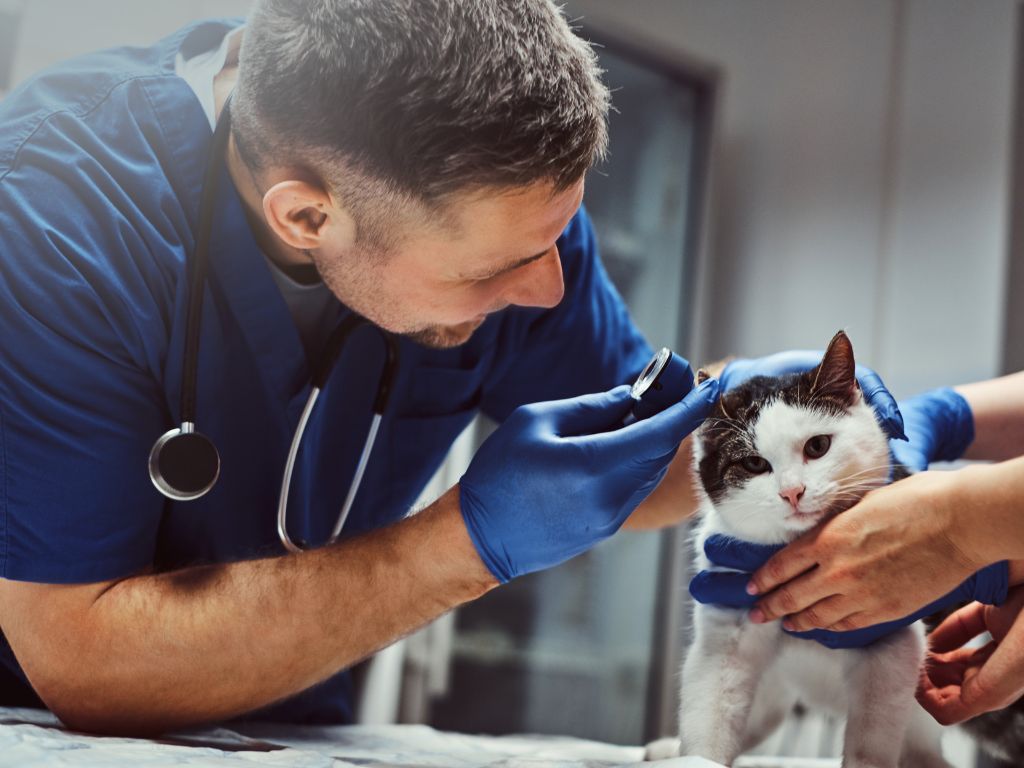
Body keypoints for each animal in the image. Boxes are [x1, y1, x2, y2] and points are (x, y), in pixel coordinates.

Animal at [651, 333, 946, 768]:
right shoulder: (725, 628)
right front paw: (696, 757)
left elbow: (872, 737)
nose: (793, 492)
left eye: (818, 446)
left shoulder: (893, 643)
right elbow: (710, 711)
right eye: (754, 464)